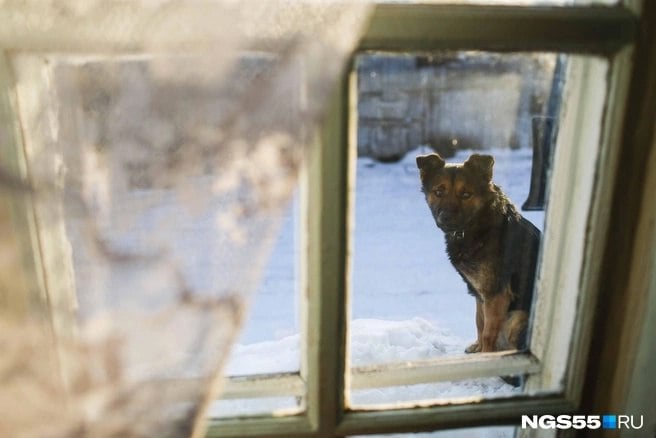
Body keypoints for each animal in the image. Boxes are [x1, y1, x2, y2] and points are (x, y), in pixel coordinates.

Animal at [418, 154, 540, 356]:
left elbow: (488, 333)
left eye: (466, 194)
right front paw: (479, 347)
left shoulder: (496, 294)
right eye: (439, 192)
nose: (446, 218)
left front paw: (485, 354)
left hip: (517, 315)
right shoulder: (479, 292)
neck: (478, 225)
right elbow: (479, 322)